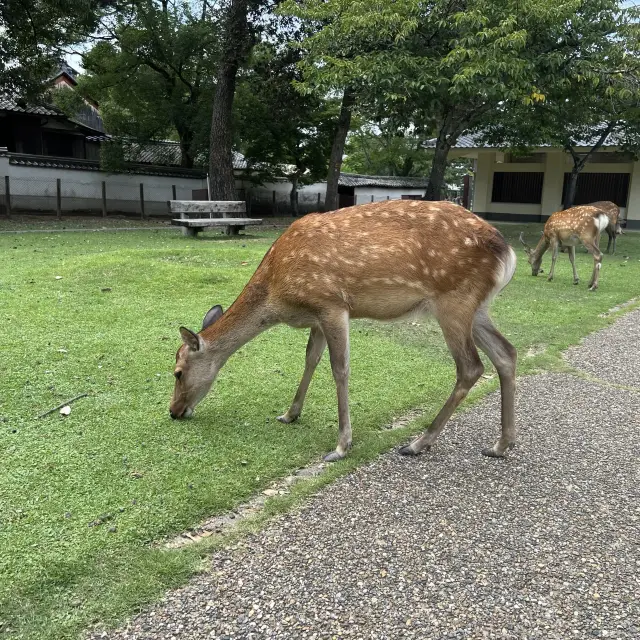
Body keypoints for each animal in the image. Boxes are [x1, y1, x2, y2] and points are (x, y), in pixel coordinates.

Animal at [168, 199, 516, 460]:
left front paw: (341, 445)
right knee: (506, 353)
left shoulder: (331, 303)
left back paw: (419, 443)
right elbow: (310, 359)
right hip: (476, 307)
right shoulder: (317, 316)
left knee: (471, 367)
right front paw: (289, 414)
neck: (278, 295)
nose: (173, 411)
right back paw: (501, 444)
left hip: (453, 301)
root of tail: (507, 250)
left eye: (178, 372)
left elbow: (340, 369)